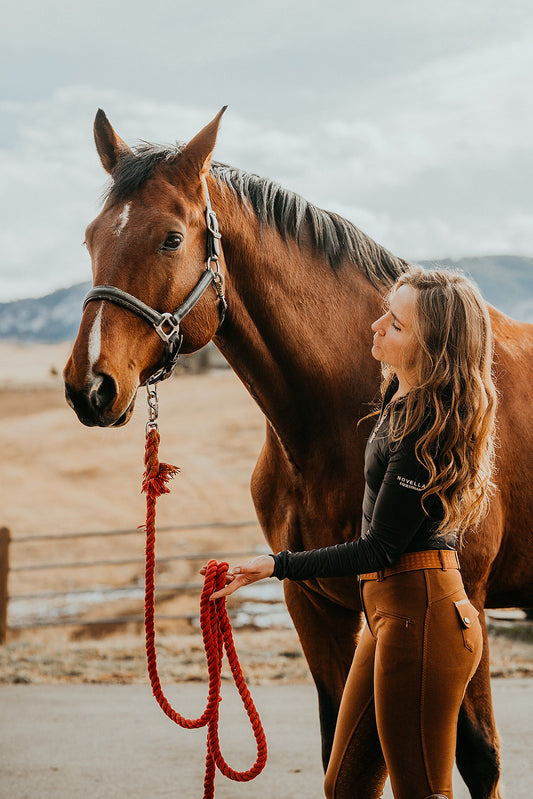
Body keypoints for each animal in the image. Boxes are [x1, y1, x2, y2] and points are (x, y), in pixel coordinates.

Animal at [63, 108, 532, 799]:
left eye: (171, 239)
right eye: (91, 237)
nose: (88, 387)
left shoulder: (465, 594)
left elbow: (480, 757)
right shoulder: (312, 604)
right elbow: (341, 749)